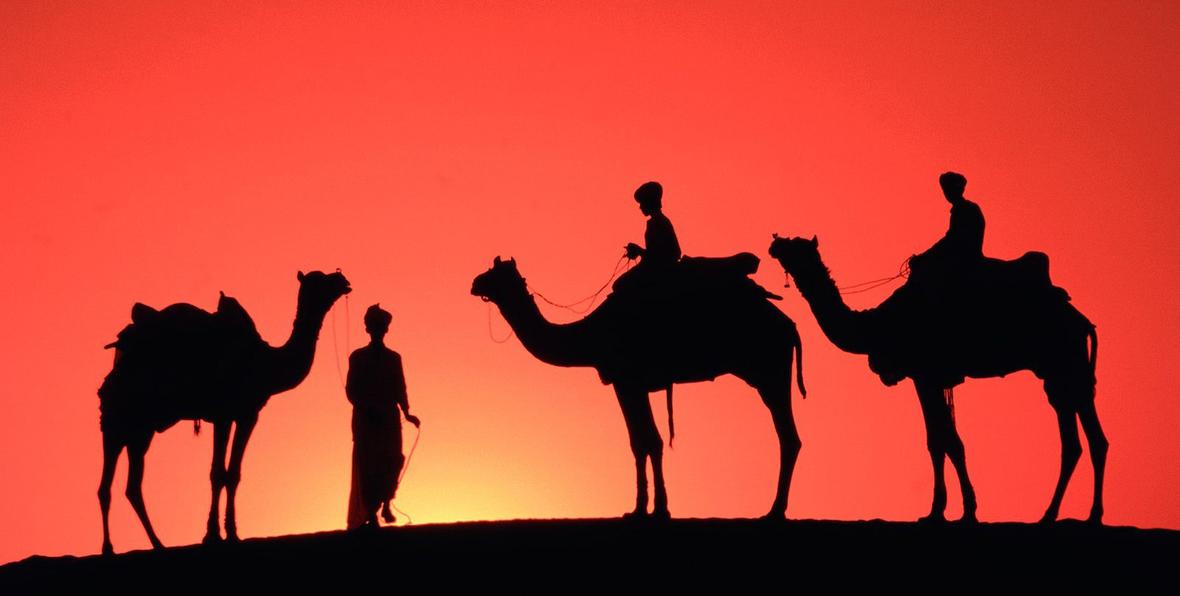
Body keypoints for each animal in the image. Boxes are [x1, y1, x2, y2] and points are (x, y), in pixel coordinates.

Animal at [96, 269, 349, 552]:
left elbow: (233, 473)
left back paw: (144, 544)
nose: (342, 280)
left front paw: (231, 533)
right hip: (120, 418)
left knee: (124, 485)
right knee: (115, 483)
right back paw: (123, 546)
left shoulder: (247, 414)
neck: (266, 364)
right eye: (320, 281)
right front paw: (213, 534)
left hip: (138, 428)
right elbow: (218, 472)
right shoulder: (226, 414)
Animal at [467, 257, 802, 519]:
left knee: (788, 436)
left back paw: (774, 511)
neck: (591, 335)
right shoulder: (633, 384)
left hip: (769, 371)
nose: (474, 283)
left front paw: (652, 510)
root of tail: (790, 326)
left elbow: (646, 441)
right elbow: (644, 441)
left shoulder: (626, 381)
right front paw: (645, 508)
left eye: (495, 274)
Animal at [764, 234, 1104, 521]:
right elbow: (945, 440)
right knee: (1083, 439)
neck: (877, 324)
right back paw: (1072, 515)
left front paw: (950, 511)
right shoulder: (931, 378)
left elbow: (942, 441)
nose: (775, 243)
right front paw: (954, 509)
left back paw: (1068, 515)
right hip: (1062, 373)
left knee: (1082, 438)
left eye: (797, 247)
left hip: (1065, 364)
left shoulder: (925, 375)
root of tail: (1083, 321)